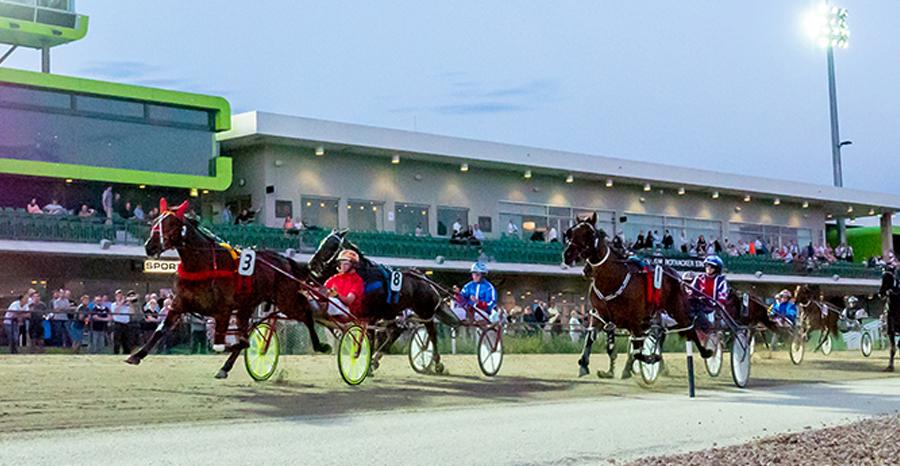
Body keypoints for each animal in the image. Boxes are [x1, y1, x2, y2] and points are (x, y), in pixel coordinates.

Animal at [122, 198, 326, 376]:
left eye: (171, 223)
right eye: (154, 221)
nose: (149, 246)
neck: (203, 264)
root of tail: (285, 260)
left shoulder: (223, 310)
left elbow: (221, 344)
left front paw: (239, 345)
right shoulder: (179, 304)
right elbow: (160, 330)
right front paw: (136, 355)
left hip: (286, 300)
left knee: (306, 313)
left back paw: (321, 345)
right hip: (247, 306)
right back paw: (226, 367)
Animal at [308, 230, 450, 374]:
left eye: (332, 245)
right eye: (322, 242)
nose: (312, 264)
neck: (365, 278)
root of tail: (423, 278)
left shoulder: (371, 316)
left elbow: (368, 338)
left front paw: (366, 366)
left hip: (425, 312)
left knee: (431, 334)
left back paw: (437, 362)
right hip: (391, 312)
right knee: (395, 331)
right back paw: (376, 358)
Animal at [564, 213, 712, 380]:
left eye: (589, 233)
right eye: (571, 232)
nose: (567, 254)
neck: (612, 278)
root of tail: (674, 274)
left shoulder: (634, 320)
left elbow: (638, 349)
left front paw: (649, 359)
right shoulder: (599, 315)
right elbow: (591, 338)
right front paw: (585, 364)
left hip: (676, 309)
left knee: (689, 328)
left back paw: (705, 351)